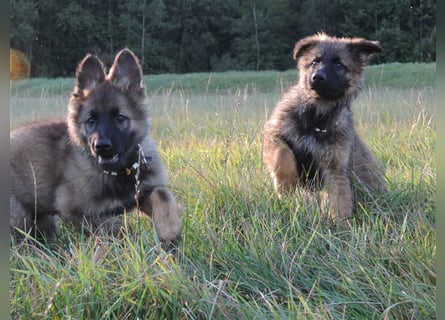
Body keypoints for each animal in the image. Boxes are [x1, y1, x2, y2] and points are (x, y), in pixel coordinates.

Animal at [10, 48, 180, 245]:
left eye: (119, 118)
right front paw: (134, 242)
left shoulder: (143, 190)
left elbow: (162, 194)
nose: (101, 146)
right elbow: (116, 227)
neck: (119, 171)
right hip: (19, 216)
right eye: (91, 121)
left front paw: (169, 230)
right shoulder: (76, 210)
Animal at [264, 33, 386, 228]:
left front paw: (342, 226)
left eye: (339, 65)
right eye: (315, 61)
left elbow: (339, 198)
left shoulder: (334, 166)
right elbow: (282, 154)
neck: (316, 117)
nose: (317, 77)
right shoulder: (274, 134)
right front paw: (286, 185)